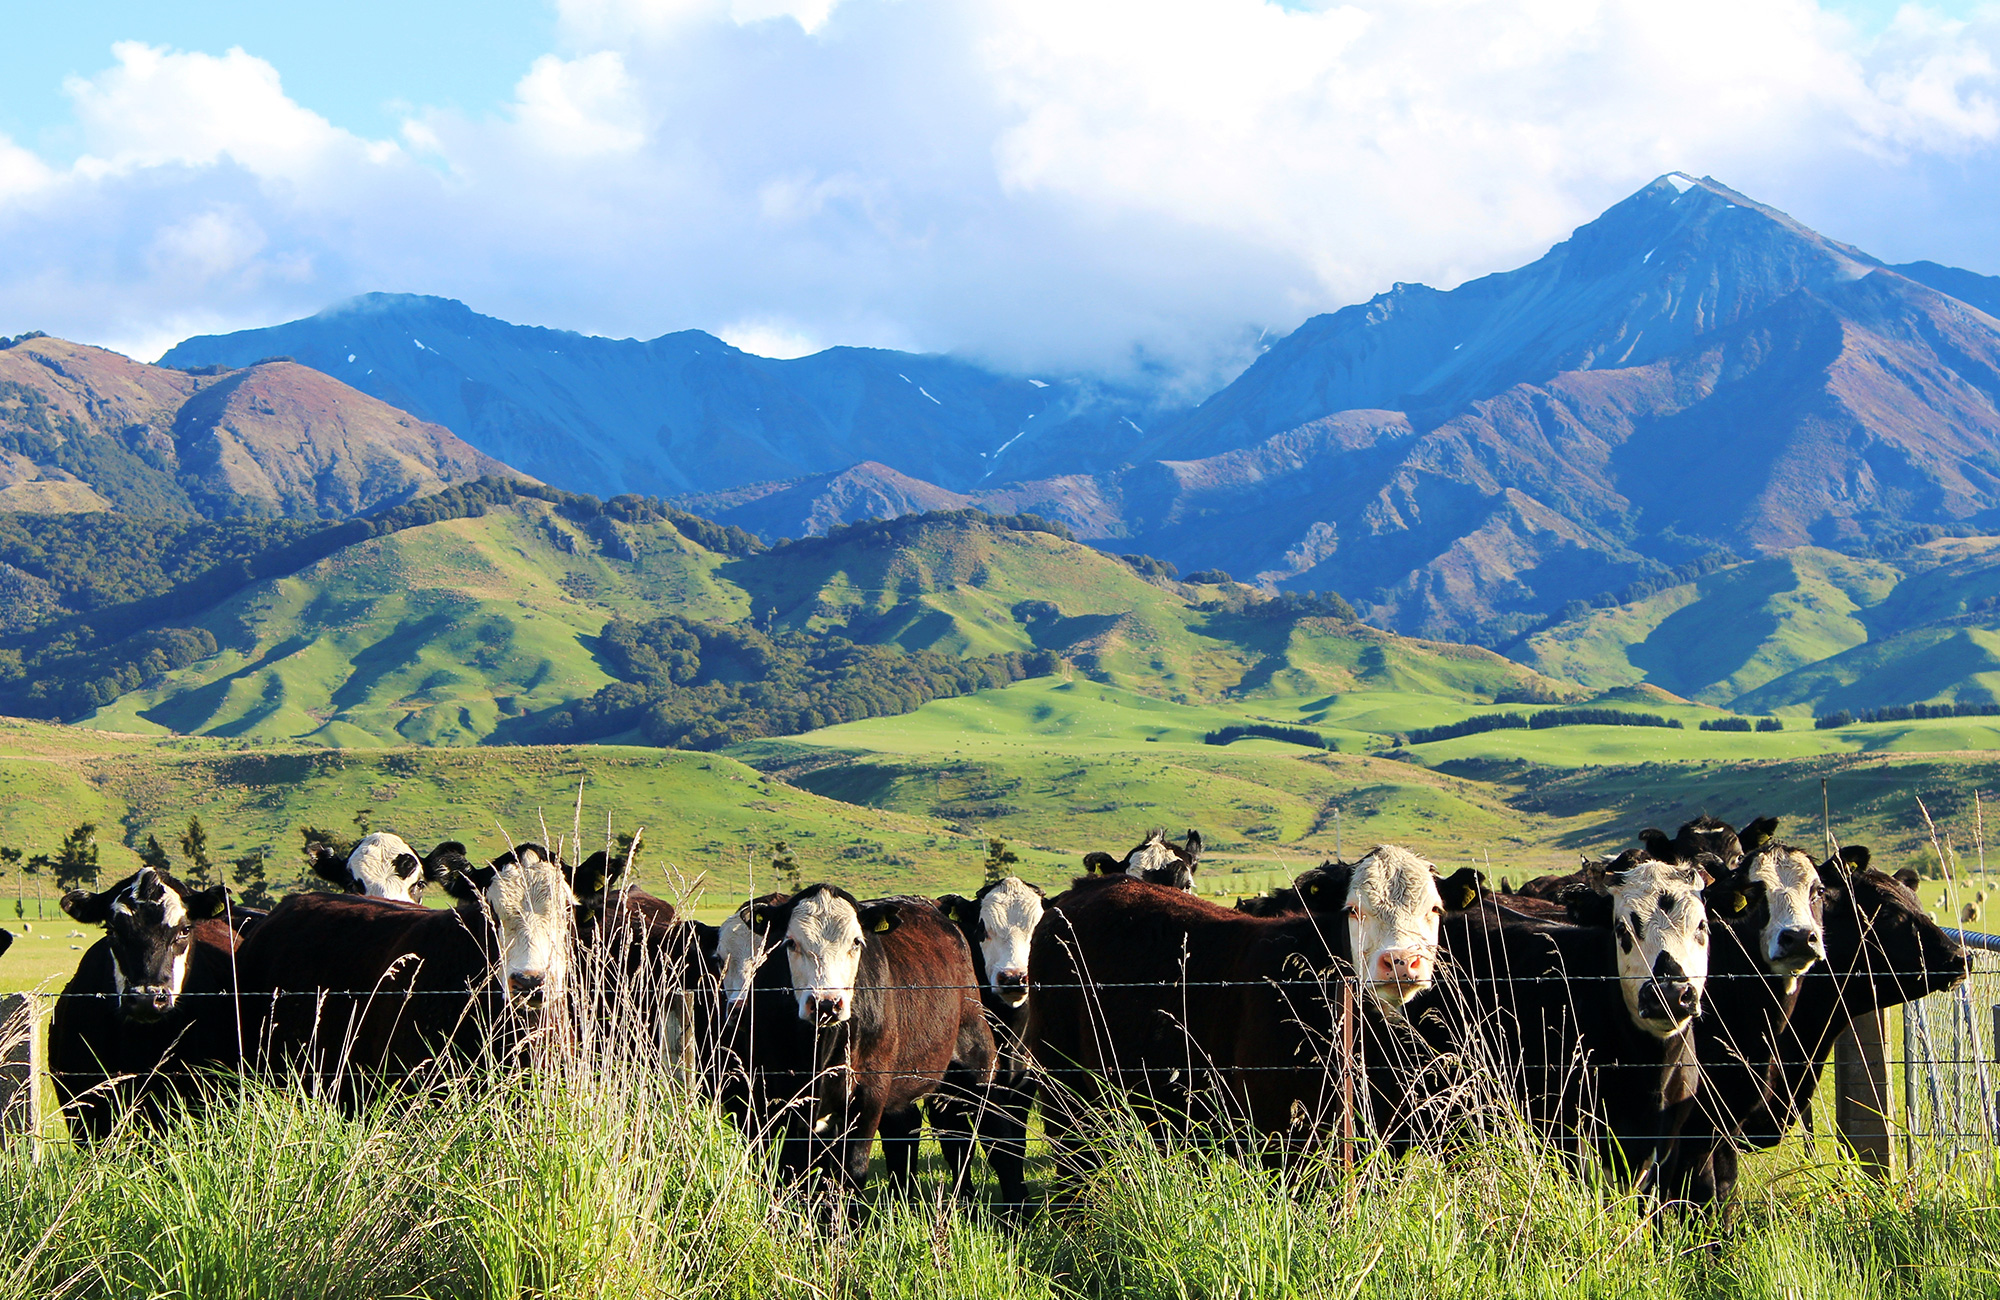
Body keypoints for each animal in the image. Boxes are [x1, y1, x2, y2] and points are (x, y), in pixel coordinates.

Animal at [731, 885, 995, 1194]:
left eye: (856, 942)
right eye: (790, 943)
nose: (826, 1003)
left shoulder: (869, 1092)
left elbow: (852, 1170)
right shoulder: (770, 1100)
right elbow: (788, 1172)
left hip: (975, 1060)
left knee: (977, 1133)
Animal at [933, 876, 1047, 1205]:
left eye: (1039, 926)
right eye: (982, 928)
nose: (1013, 977)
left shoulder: (1022, 1085)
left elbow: (1014, 1146)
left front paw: (1020, 1200)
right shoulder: (959, 1089)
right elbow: (972, 1147)